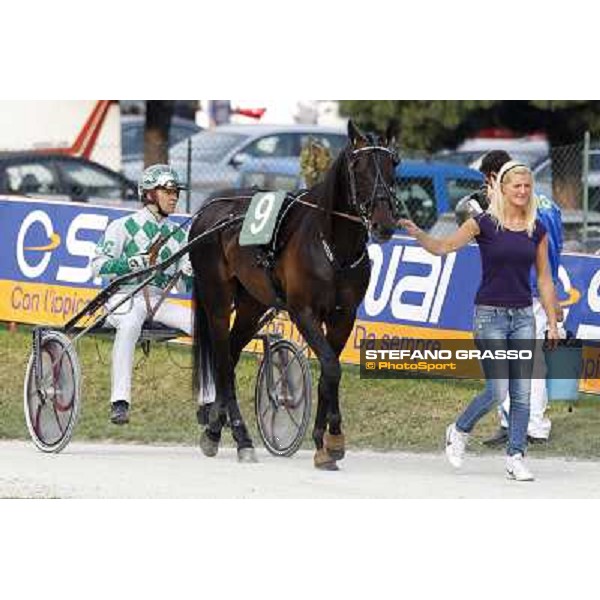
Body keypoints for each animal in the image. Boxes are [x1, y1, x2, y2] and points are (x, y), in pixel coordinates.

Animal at [190, 120, 398, 468]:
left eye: (393, 164)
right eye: (358, 167)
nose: (384, 223)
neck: (332, 248)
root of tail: (209, 210)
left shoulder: (343, 317)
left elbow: (329, 371)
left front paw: (323, 443)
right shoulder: (304, 313)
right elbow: (331, 366)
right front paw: (334, 439)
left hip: (251, 305)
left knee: (230, 356)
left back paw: (216, 430)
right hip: (216, 301)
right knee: (222, 361)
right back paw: (241, 437)